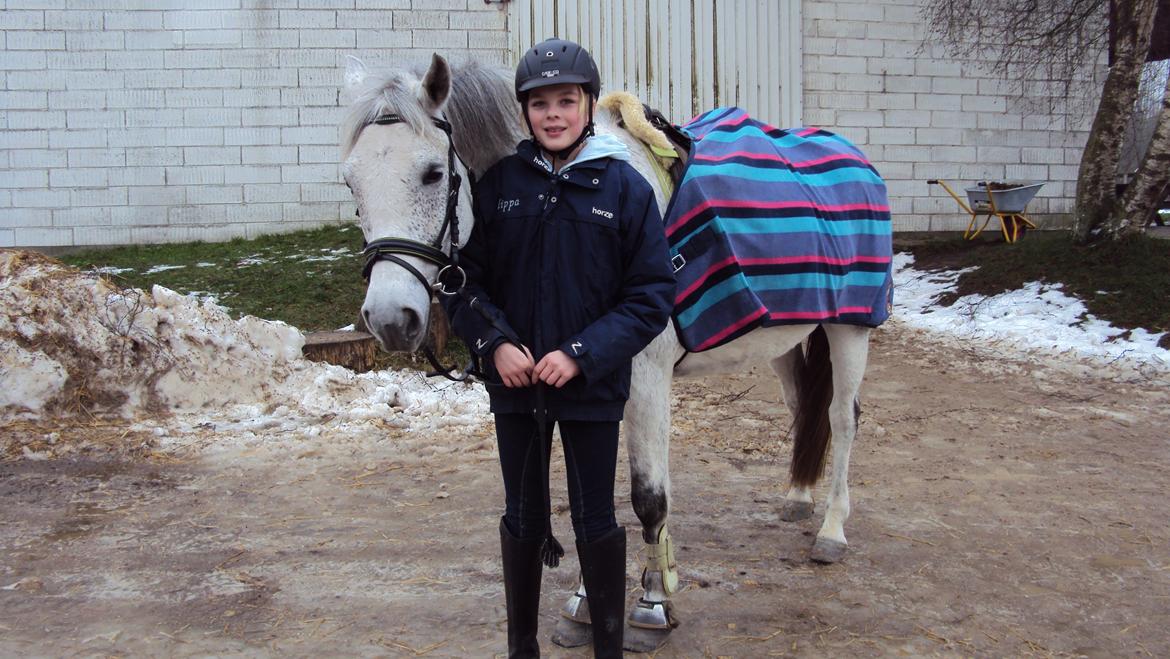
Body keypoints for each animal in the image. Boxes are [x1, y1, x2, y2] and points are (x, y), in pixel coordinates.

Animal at [340, 53, 884, 651]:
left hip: (850, 329)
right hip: (785, 337)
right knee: (804, 408)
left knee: (843, 417)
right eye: (352, 182)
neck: (564, 179)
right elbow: (587, 502)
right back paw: (797, 497)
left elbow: (647, 499)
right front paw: (585, 604)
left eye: (434, 173)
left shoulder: (645, 382)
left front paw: (652, 606)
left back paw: (831, 530)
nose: (391, 319)